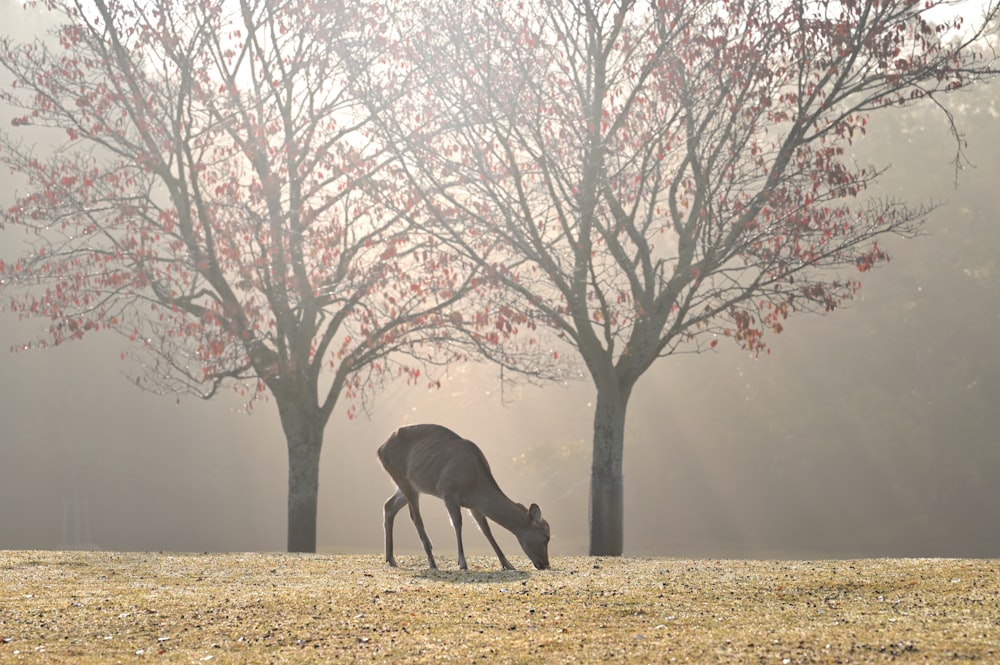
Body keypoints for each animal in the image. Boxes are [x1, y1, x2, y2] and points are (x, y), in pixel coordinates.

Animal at [376, 422, 552, 568]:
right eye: (546, 537)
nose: (545, 564)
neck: (476, 484)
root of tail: (380, 449)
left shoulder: (475, 506)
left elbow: (486, 530)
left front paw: (507, 564)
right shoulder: (448, 491)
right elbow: (457, 523)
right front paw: (462, 562)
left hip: (411, 485)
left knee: (389, 505)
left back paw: (390, 558)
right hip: (402, 477)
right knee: (415, 517)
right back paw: (431, 561)